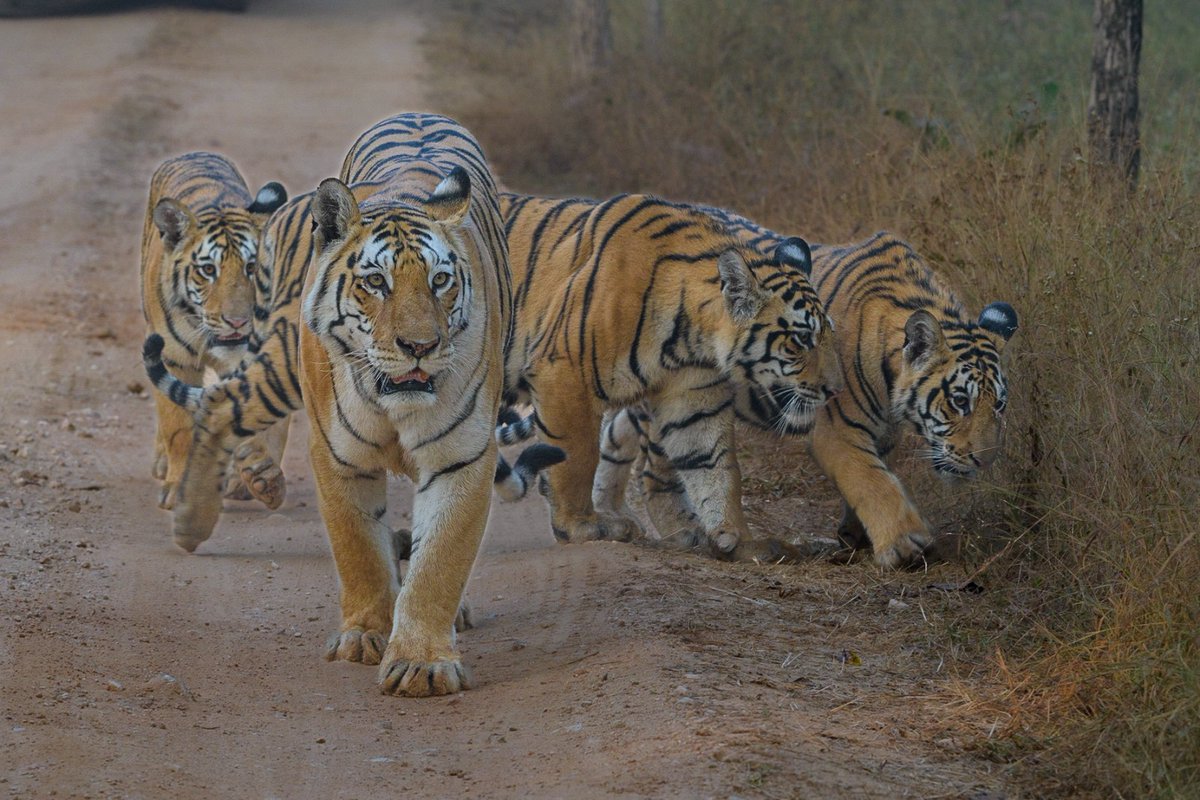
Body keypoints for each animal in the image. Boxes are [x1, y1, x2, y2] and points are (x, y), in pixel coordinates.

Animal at [140, 151, 286, 512]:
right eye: (208, 270)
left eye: (251, 267)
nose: (237, 321)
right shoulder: (172, 357)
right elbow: (178, 426)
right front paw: (177, 487)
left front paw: (259, 479)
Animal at [497, 192, 842, 558]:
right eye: (800, 339)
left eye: (828, 335)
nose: (835, 390)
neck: (692, 336)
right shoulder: (564, 373)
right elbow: (574, 459)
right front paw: (580, 526)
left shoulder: (694, 398)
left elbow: (715, 466)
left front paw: (741, 540)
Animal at [590, 206, 1019, 569]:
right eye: (959, 401)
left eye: (998, 405)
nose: (984, 461)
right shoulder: (837, 428)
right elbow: (874, 481)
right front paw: (904, 545)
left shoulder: (883, 431)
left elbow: (873, 477)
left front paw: (856, 535)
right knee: (653, 468)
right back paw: (685, 532)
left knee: (614, 435)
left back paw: (611, 513)